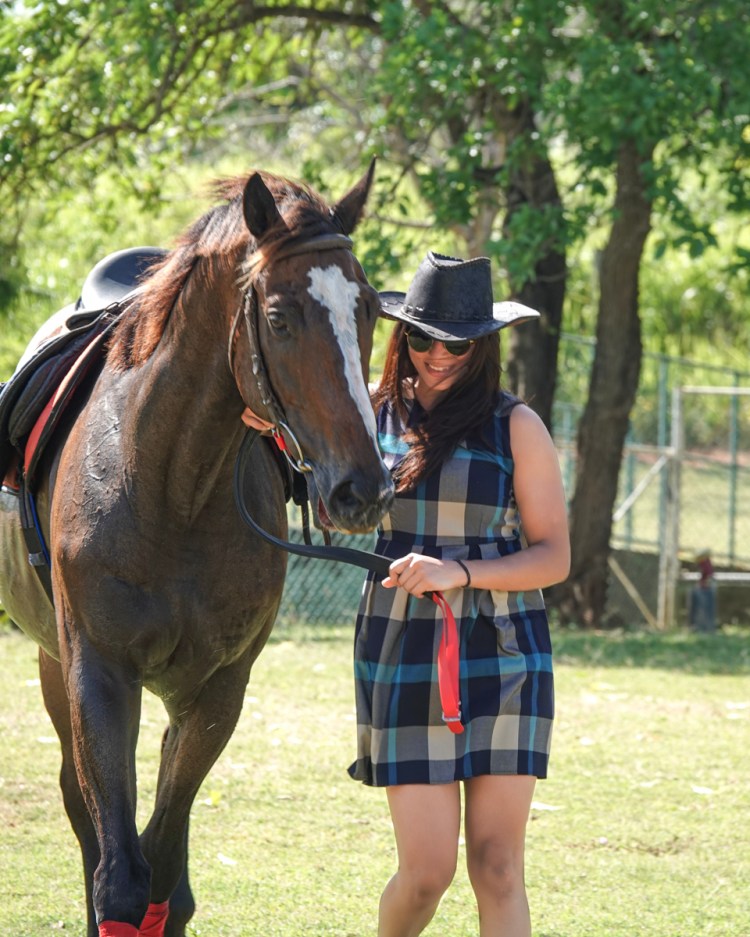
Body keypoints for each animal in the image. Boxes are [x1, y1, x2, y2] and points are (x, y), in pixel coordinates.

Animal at [0, 164, 394, 937]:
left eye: (366, 309)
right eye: (279, 316)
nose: (362, 487)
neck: (170, 484)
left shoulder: (217, 691)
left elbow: (163, 877)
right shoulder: (100, 674)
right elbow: (120, 879)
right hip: (54, 661)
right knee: (83, 816)